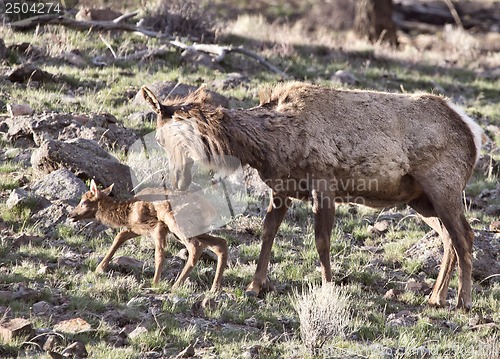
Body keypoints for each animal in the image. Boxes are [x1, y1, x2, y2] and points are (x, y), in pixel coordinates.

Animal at [68, 180, 229, 292]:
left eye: (84, 202)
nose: (70, 215)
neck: (127, 213)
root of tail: (210, 208)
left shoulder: (157, 226)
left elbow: (159, 255)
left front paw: (155, 283)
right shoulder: (136, 228)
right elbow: (119, 237)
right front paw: (100, 268)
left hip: (176, 223)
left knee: (195, 246)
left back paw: (176, 285)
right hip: (192, 228)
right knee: (220, 243)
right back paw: (215, 288)